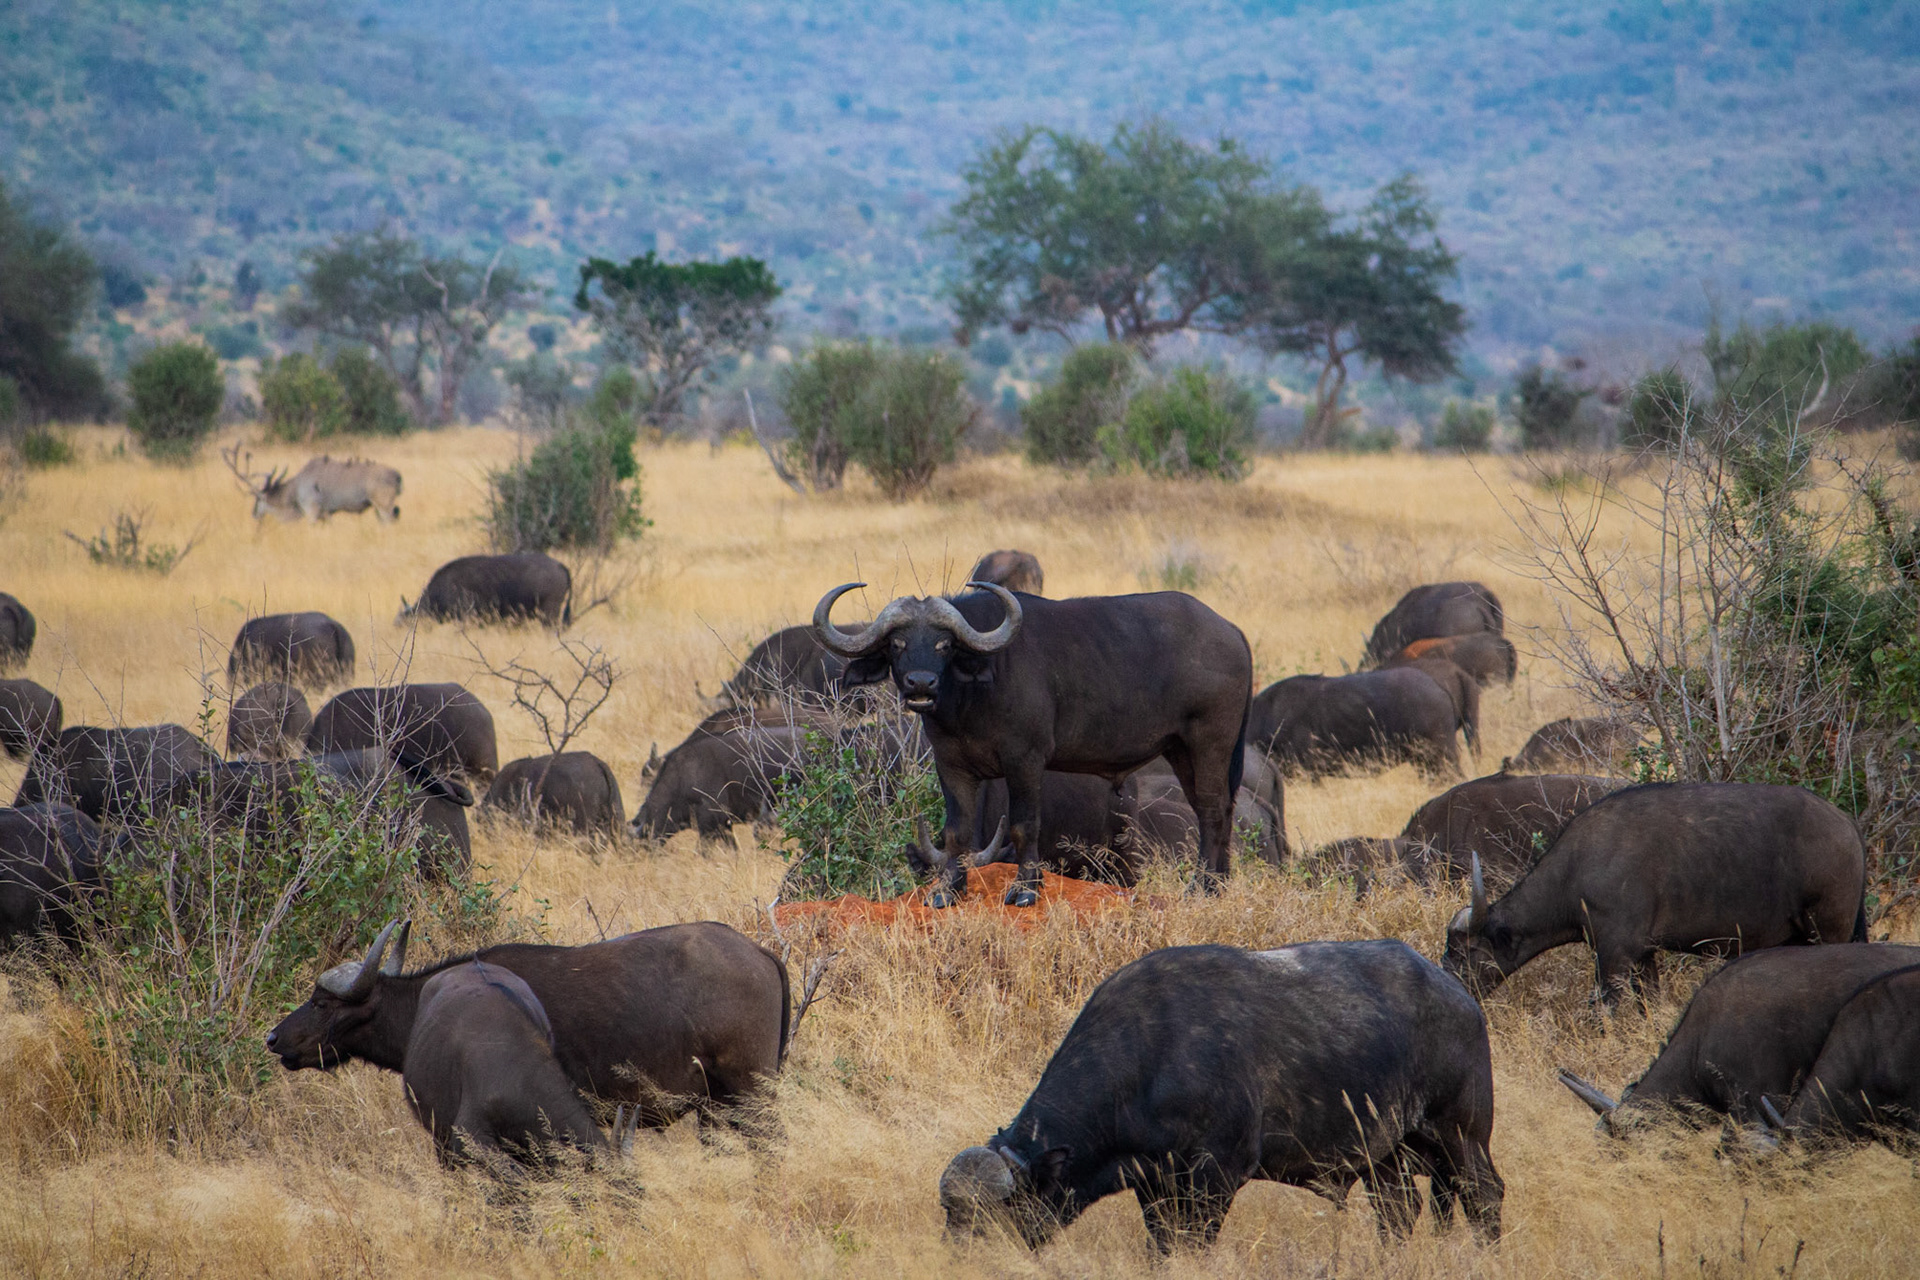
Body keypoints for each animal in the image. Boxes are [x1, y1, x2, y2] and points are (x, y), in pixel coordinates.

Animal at [815, 583, 1251, 906]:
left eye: (944, 645)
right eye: (897, 644)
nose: (921, 683)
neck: (970, 701)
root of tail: (1231, 631)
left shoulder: (1024, 761)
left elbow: (1024, 825)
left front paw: (1025, 890)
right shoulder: (951, 766)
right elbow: (957, 831)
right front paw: (947, 891)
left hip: (1210, 744)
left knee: (1212, 810)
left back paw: (1204, 888)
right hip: (1180, 750)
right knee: (1217, 810)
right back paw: (1220, 884)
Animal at [939, 941, 1502, 1251]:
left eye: (991, 1217)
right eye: (951, 1215)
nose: (960, 1260)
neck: (1152, 1058)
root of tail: (1460, 996)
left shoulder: (1218, 1177)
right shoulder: (1155, 1187)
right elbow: (1162, 1248)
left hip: (1461, 1135)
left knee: (1485, 1197)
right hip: (1385, 1154)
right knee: (1399, 1211)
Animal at [1446, 783, 1867, 1006]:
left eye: (1463, 953)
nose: (1451, 985)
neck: (1576, 870)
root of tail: (1847, 825)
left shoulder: (1614, 958)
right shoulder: (1643, 957)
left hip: (1827, 931)